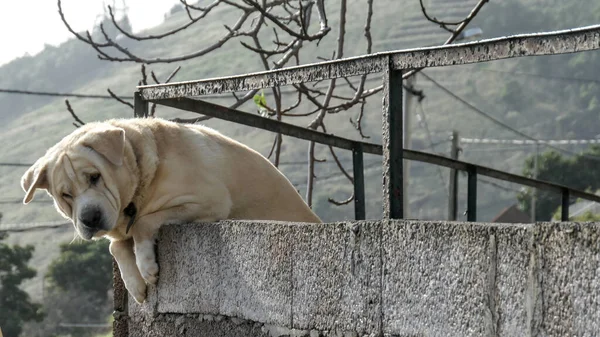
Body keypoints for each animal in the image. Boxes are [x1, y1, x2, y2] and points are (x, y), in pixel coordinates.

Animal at [21, 117, 322, 302]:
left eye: (94, 177)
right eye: (66, 195)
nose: (90, 218)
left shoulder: (207, 200)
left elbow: (143, 224)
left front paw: (146, 267)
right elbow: (115, 245)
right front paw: (135, 285)